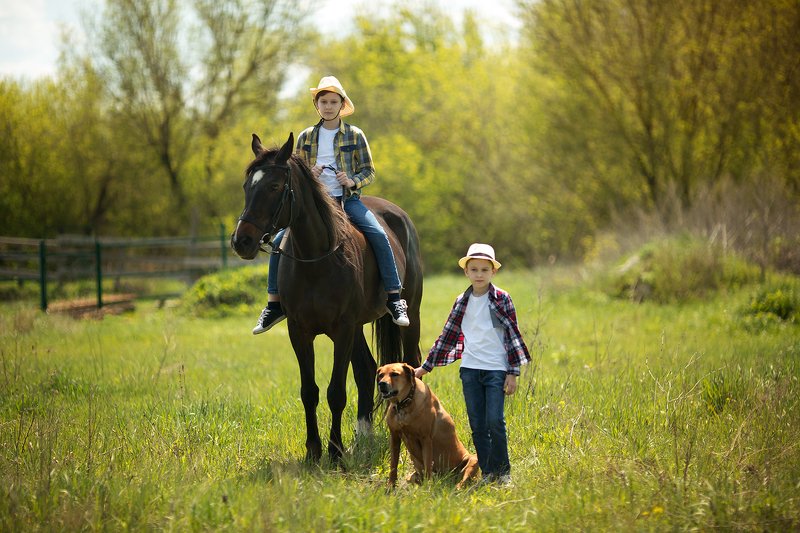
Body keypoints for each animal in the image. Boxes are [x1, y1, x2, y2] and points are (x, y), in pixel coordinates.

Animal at [231, 132, 423, 462]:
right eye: (247, 186)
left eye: (274, 186)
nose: (241, 241)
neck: (316, 258)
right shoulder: (300, 331)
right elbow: (309, 392)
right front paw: (313, 451)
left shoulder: (342, 330)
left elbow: (336, 392)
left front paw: (335, 451)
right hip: (358, 328)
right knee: (367, 370)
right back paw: (363, 435)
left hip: (409, 318)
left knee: (412, 363)